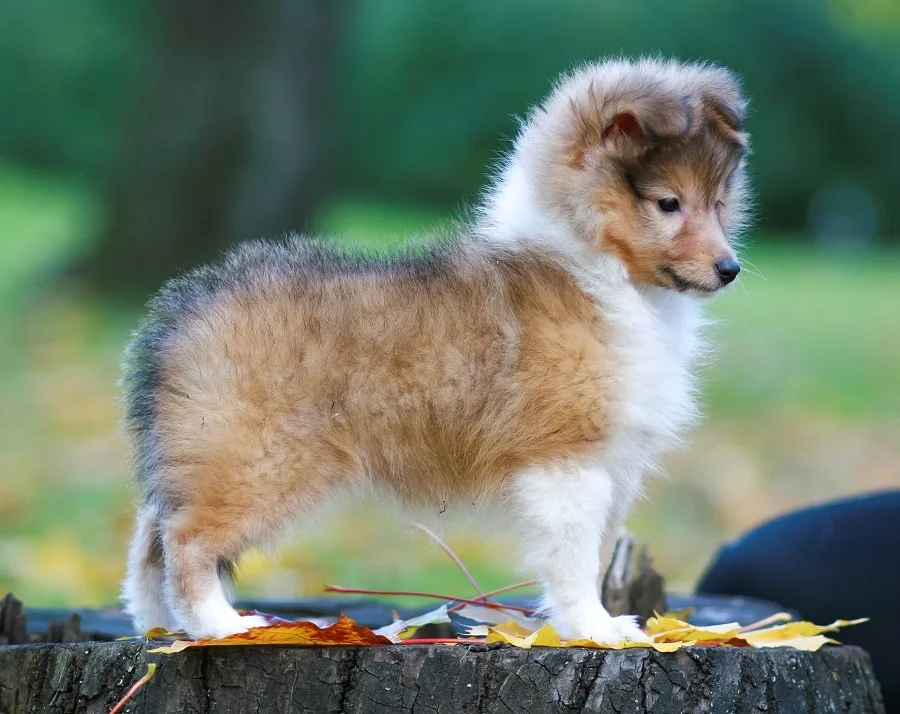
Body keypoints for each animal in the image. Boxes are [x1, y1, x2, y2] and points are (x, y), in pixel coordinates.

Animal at [121, 58, 752, 644]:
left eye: (719, 202)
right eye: (668, 203)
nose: (730, 270)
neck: (599, 269)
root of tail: (179, 317)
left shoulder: (610, 463)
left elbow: (594, 554)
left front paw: (585, 627)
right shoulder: (567, 459)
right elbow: (574, 560)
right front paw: (596, 629)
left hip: (206, 456)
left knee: (150, 538)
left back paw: (160, 627)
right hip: (259, 462)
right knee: (186, 540)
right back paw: (220, 624)